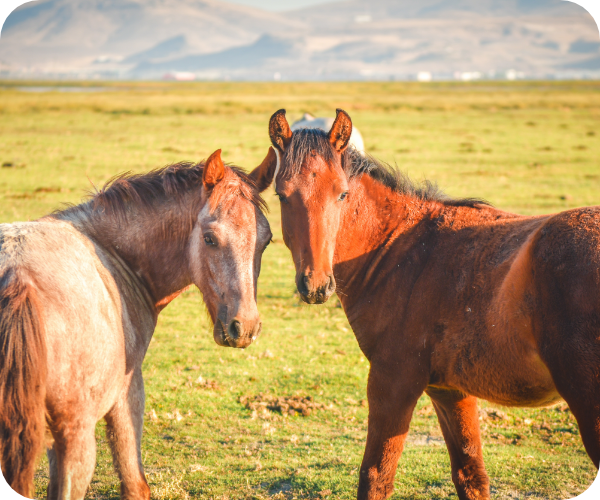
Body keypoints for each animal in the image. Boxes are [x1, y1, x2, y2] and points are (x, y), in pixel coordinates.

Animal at [0, 151, 272, 500]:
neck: (113, 254)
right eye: (210, 238)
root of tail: (17, 275)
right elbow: (135, 484)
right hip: (76, 439)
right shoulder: (128, 395)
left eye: (266, 241)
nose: (245, 327)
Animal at [251, 110, 600, 500]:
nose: (316, 286)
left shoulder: (392, 382)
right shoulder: (450, 391)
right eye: (282, 195)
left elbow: (375, 477)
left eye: (342, 193)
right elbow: (471, 476)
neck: (402, 248)